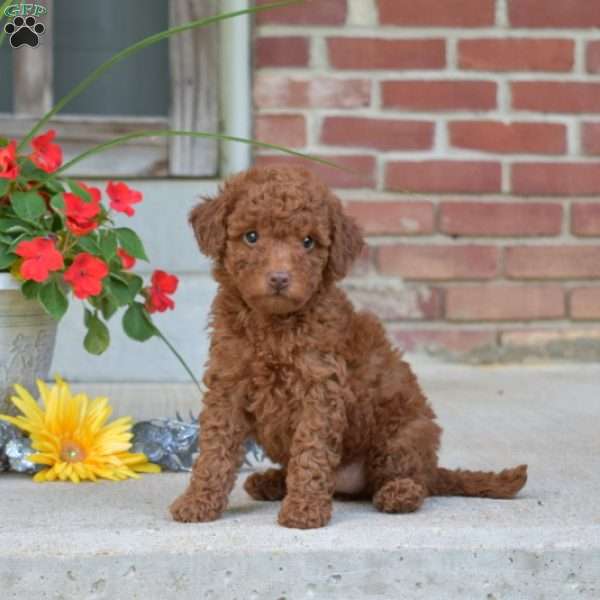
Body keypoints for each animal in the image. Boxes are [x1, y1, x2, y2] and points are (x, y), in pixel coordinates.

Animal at [171, 165, 528, 528]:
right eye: (251, 237)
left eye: (308, 242)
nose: (280, 278)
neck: (273, 325)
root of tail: (433, 466)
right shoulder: (228, 384)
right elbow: (215, 449)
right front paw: (198, 501)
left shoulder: (320, 389)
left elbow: (311, 452)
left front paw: (304, 510)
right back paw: (270, 481)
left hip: (401, 436)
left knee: (413, 481)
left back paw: (398, 493)